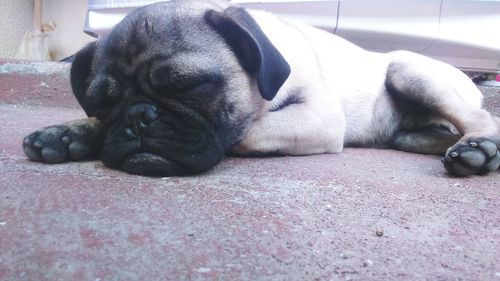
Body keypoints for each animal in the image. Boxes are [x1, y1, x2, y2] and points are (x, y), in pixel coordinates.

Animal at [23, 0, 500, 175]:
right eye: (101, 103)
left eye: (192, 85)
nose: (140, 115)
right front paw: (71, 133)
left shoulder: (318, 118)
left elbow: (245, 134)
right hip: (408, 133)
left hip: (407, 70)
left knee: (479, 117)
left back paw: (478, 148)